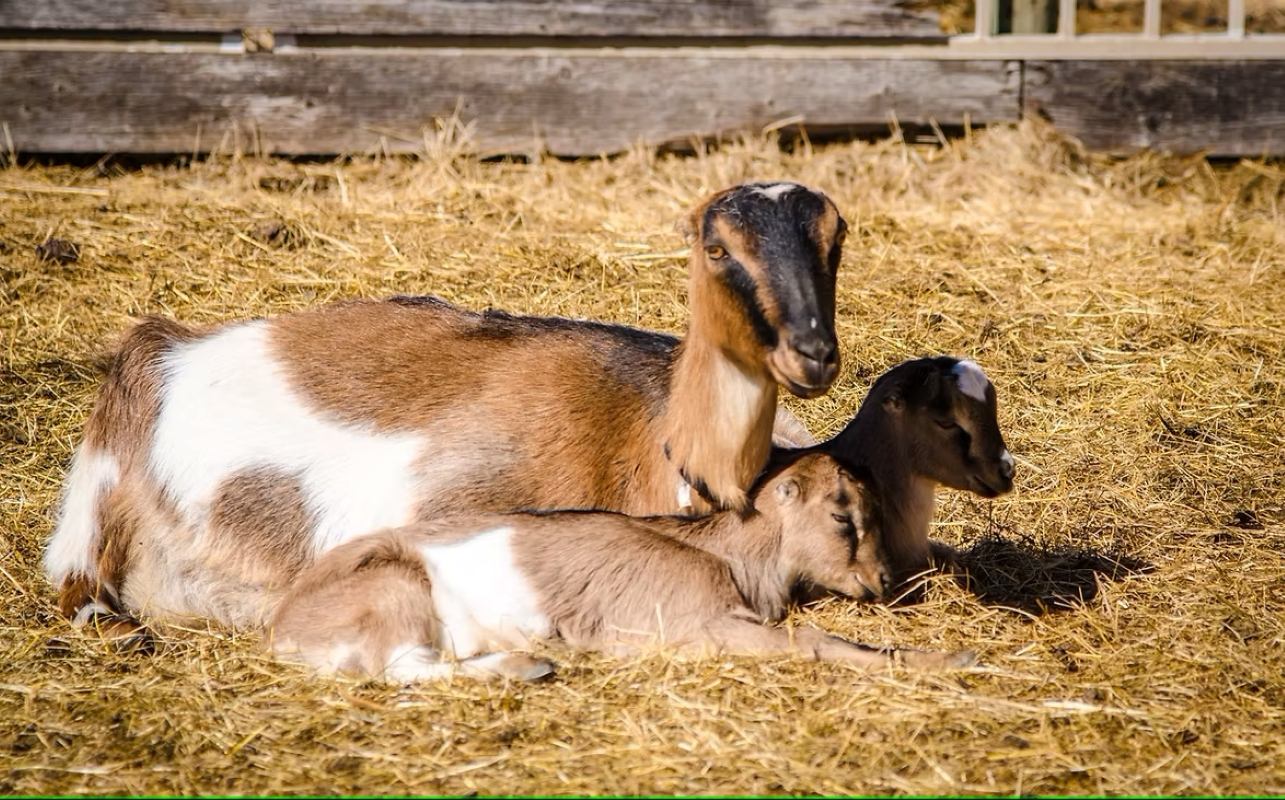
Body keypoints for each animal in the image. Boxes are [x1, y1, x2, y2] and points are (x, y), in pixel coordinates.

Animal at [268, 453, 973, 682]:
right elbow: (814, 639)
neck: (721, 554)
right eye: (842, 516)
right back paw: (530, 663)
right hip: (398, 588)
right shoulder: (701, 627)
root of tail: (284, 628)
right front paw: (958, 659)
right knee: (400, 669)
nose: (884, 581)